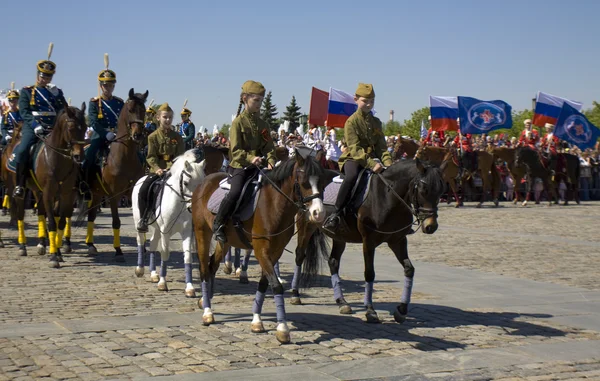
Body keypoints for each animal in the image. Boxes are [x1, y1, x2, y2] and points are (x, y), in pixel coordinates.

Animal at [0, 102, 88, 266]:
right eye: (71, 128)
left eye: (85, 127)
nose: (79, 156)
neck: (57, 159)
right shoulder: (48, 193)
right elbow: (52, 222)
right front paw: (53, 256)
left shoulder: (66, 194)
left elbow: (60, 222)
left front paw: (58, 252)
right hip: (19, 190)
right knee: (20, 215)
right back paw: (22, 246)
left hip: (38, 191)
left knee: (41, 211)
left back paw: (42, 243)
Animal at [77, 89, 148, 262]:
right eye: (130, 110)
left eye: (143, 111)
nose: (138, 135)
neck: (125, 157)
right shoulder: (114, 195)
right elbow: (116, 222)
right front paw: (118, 250)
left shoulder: (132, 193)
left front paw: (143, 248)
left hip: (96, 194)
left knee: (91, 216)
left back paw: (91, 245)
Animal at [132, 145, 229, 294]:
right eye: (186, 182)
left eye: (201, 183)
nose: (193, 205)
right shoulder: (166, 231)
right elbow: (165, 253)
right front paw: (162, 283)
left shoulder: (186, 232)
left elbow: (187, 256)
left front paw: (189, 288)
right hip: (139, 222)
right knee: (140, 241)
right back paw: (140, 269)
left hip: (157, 228)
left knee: (153, 243)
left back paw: (154, 274)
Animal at [192, 150, 330, 342]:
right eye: (303, 182)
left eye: (323, 182)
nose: (319, 214)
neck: (274, 204)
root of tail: (204, 181)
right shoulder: (261, 250)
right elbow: (276, 285)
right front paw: (283, 329)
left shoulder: (275, 252)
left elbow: (265, 283)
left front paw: (257, 321)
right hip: (202, 233)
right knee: (205, 269)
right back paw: (207, 312)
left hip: (225, 241)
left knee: (212, 265)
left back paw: (205, 301)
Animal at [290, 157, 446, 324]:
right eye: (423, 190)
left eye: (441, 191)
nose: (431, 226)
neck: (388, 197)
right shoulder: (369, 242)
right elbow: (369, 273)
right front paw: (370, 311)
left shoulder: (398, 240)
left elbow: (409, 269)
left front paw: (402, 310)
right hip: (306, 226)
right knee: (300, 255)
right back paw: (295, 294)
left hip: (340, 235)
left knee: (333, 262)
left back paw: (342, 302)